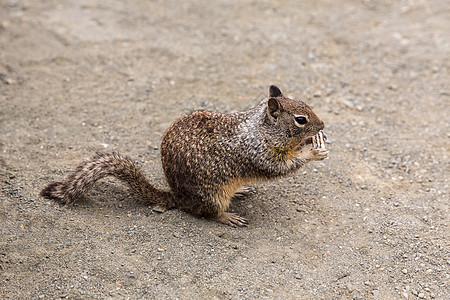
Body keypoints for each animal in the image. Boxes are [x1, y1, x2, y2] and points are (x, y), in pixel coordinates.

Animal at [41, 85, 326, 226]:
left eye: (307, 105)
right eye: (300, 119)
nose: (322, 124)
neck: (260, 129)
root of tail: (178, 197)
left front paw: (311, 142)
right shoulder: (258, 153)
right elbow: (279, 168)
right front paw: (313, 151)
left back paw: (241, 190)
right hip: (212, 195)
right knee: (207, 213)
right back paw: (228, 217)